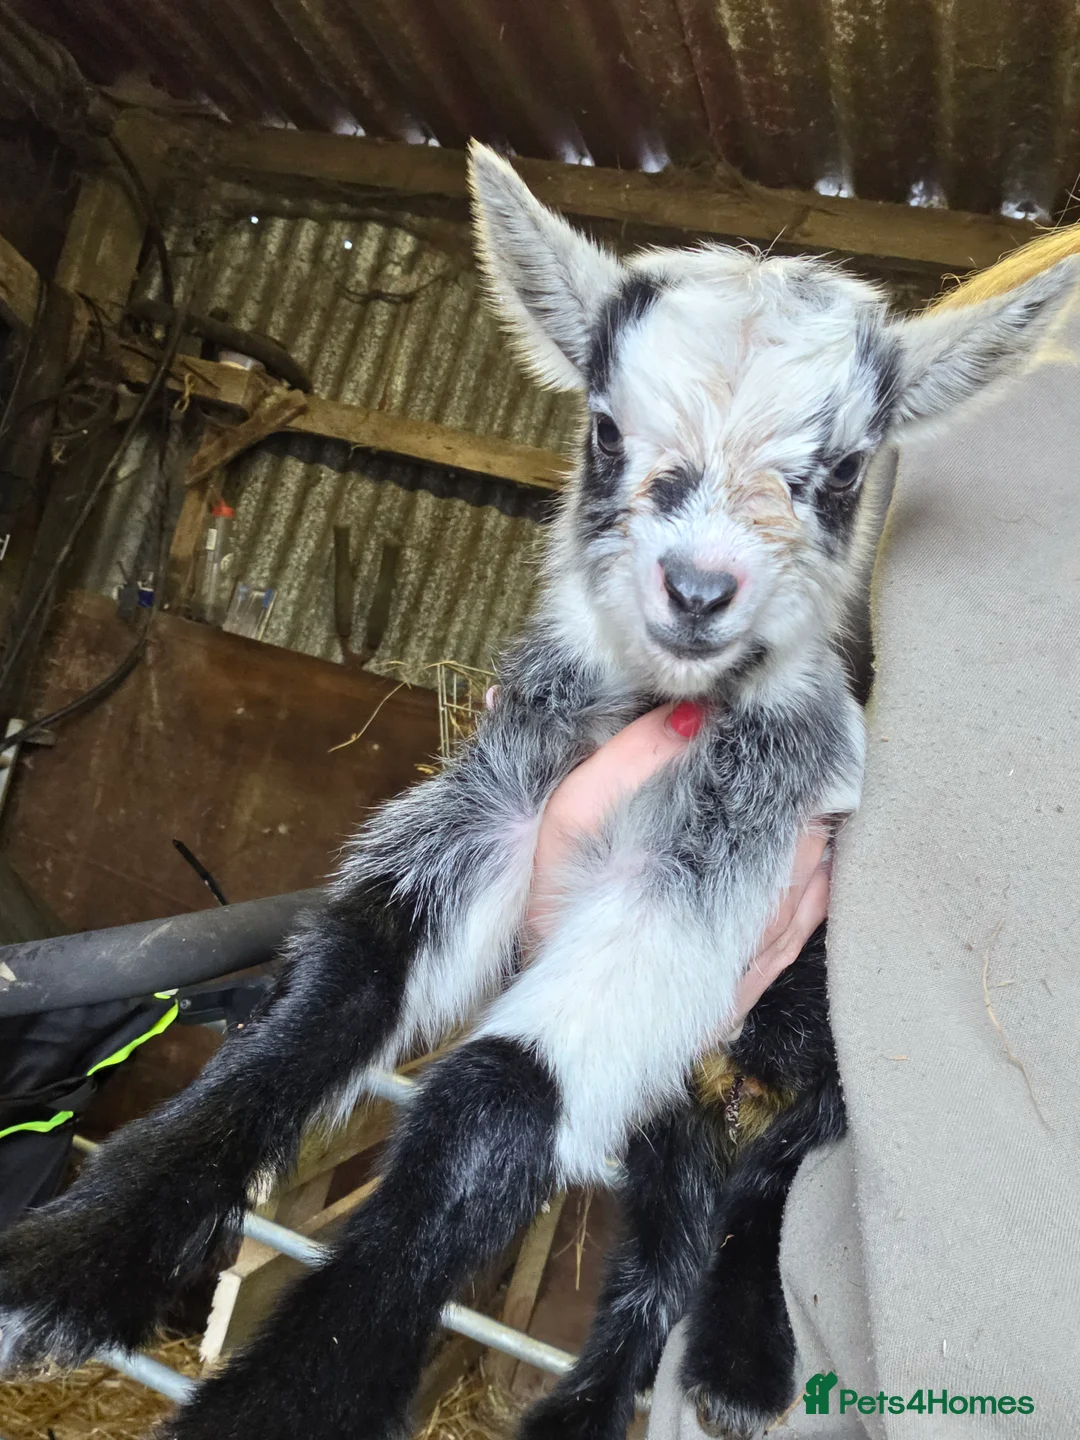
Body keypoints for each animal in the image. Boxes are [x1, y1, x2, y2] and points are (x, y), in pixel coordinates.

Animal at [0, 146, 1075, 1440]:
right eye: (605, 432)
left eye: (845, 472)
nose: (697, 587)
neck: (661, 705)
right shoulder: (498, 807)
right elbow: (348, 970)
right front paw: (75, 1257)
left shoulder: (721, 862)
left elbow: (500, 1091)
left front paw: (294, 1394)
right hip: (690, 1085)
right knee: (668, 1224)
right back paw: (597, 1403)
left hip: (813, 1029)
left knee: (775, 1172)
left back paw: (741, 1359)